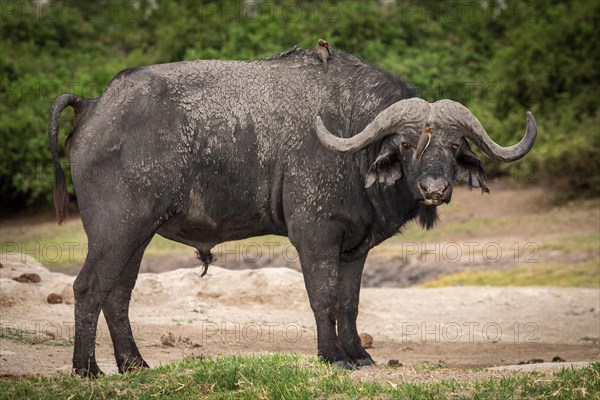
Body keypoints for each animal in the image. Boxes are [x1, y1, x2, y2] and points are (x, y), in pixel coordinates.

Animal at [45, 46, 536, 376]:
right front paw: (332, 357)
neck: (351, 140)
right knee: (88, 287)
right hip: (115, 230)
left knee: (118, 294)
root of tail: (94, 105)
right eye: (407, 143)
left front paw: (359, 354)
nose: (434, 189)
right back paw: (87, 369)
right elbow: (323, 297)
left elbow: (349, 301)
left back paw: (134, 364)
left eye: (454, 146)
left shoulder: (354, 247)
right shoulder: (315, 235)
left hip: (138, 234)